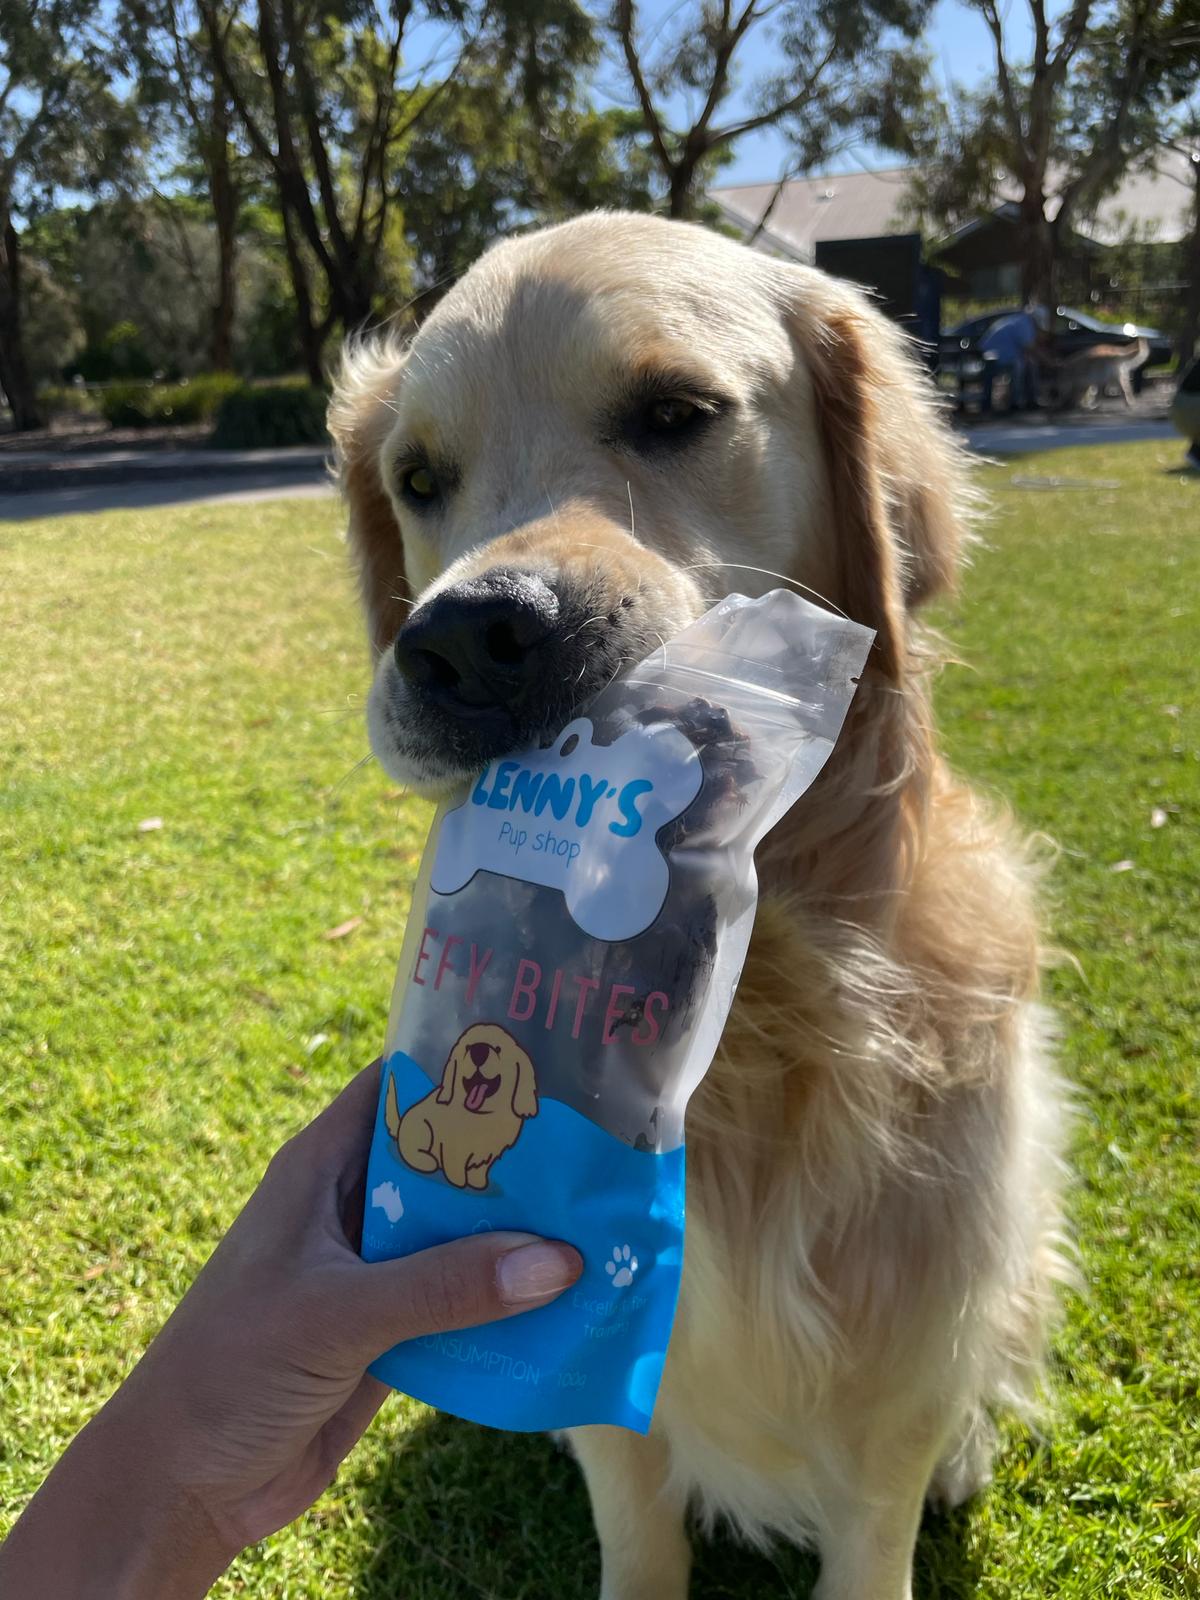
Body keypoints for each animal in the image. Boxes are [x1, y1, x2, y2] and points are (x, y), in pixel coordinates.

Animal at [387, 1024, 537, 1190]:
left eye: (499, 1049)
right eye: (467, 1046)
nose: (479, 1051)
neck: (481, 1115)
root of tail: (400, 1126)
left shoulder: (487, 1155)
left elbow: (479, 1170)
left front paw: (478, 1183)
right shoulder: (451, 1146)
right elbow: (455, 1165)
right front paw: (458, 1182)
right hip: (423, 1128)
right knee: (411, 1152)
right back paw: (428, 1161)